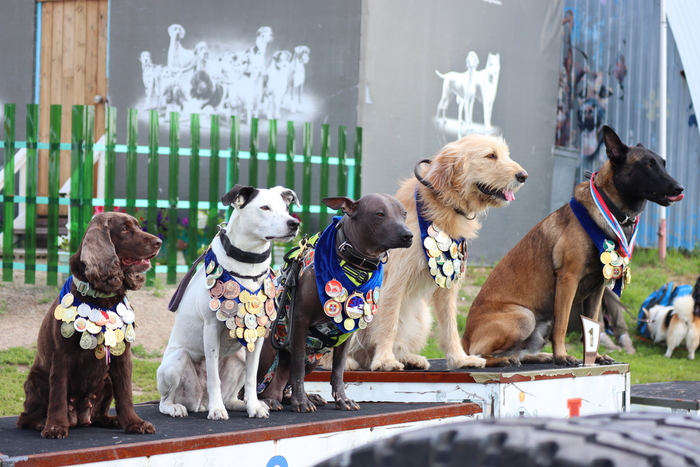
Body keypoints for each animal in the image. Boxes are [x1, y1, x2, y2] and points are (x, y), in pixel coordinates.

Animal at [17, 212, 162, 438]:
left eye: (138, 226)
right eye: (125, 229)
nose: (159, 242)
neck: (102, 299)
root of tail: (79, 417)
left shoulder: (122, 356)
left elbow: (125, 394)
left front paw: (134, 423)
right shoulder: (62, 356)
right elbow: (58, 395)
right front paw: (55, 426)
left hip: (106, 382)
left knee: (99, 416)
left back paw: (114, 420)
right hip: (37, 379)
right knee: (24, 418)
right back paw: (41, 423)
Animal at [157, 185, 300, 420]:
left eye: (286, 208)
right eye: (264, 207)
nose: (294, 223)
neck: (248, 265)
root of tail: (200, 402)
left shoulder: (257, 334)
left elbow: (252, 377)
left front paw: (254, 406)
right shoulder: (211, 328)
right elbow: (214, 376)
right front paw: (217, 410)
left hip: (239, 357)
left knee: (232, 397)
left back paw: (242, 404)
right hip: (176, 361)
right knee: (165, 400)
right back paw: (181, 407)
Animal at [257, 194, 413, 412]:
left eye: (404, 213)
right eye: (379, 214)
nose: (408, 235)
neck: (354, 265)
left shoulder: (347, 330)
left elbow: (338, 370)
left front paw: (342, 399)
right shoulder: (300, 320)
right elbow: (297, 367)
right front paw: (301, 401)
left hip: (314, 359)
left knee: (282, 387)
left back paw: (296, 397)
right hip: (269, 349)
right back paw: (266, 401)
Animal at [345, 134, 528, 372]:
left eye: (506, 154)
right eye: (490, 155)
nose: (523, 176)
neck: (443, 206)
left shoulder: (448, 283)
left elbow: (450, 325)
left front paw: (459, 359)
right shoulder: (394, 281)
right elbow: (388, 322)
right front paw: (385, 359)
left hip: (422, 314)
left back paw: (408, 357)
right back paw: (349, 361)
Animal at [462, 126, 685, 367]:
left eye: (663, 163)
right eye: (648, 164)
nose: (680, 188)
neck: (610, 209)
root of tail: (464, 337)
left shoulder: (597, 289)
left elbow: (594, 323)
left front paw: (594, 357)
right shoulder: (568, 280)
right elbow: (562, 326)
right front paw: (562, 355)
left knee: (518, 353)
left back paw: (540, 357)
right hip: (524, 316)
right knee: (479, 355)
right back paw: (506, 360)